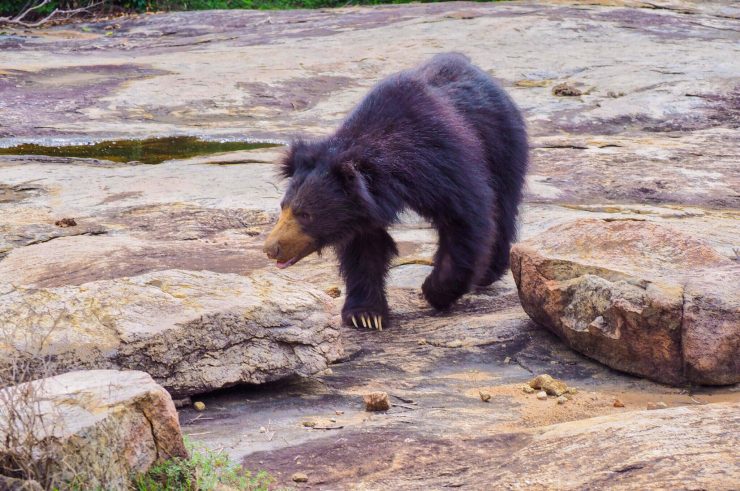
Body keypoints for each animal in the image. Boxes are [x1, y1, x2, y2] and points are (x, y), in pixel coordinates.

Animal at [264, 52, 528, 330]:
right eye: (283, 208)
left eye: (305, 215)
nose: (271, 249)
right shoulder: (362, 208)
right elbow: (365, 248)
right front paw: (366, 316)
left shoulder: (446, 164)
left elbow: (465, 221)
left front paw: (434, 291)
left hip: (502, 146)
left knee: (503, 206)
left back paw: (489, 272)